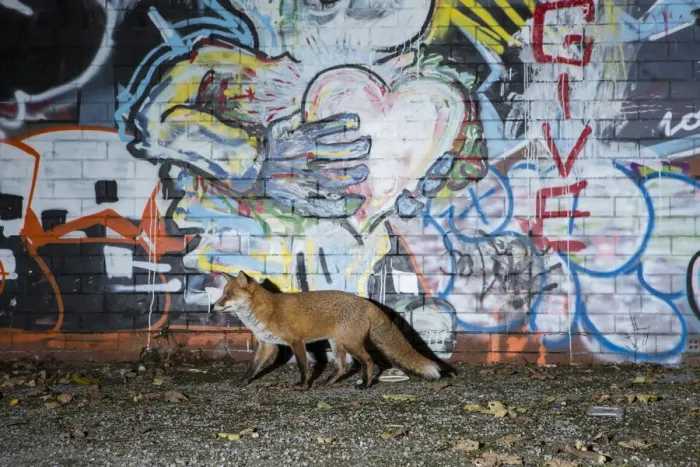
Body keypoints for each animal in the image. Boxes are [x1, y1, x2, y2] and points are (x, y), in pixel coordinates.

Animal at [213, 271, 442, 390]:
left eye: (229, 295)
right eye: (223, 294)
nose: (213, 306)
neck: (267, 311)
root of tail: (366, 303)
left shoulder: (297, 342)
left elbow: (303, 367)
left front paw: (303, 385)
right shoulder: (266, 345)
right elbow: (252, 367)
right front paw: (243, 382)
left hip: (350, 343)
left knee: (368, 360)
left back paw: (365, 385)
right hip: (337, 343)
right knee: (341, 367)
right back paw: (327, 382)